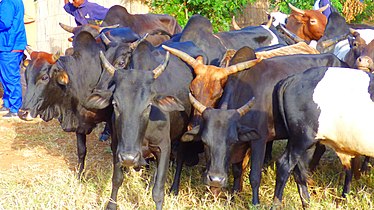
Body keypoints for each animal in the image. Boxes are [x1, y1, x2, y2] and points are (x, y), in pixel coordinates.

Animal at [181, 47, 348, 203]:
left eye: (217, 94)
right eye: (205, 142)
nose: (215, 180)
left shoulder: (259, 140)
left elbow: (254, 176)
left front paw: (255, 202)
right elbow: (237, 170)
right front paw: (234, 196)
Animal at [274, 66, 374, 208]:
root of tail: (296, 77)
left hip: (305, 143)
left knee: (300, 172)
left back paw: (308, 204)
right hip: (301, 138)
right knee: (284, 165)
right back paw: (276, 204)